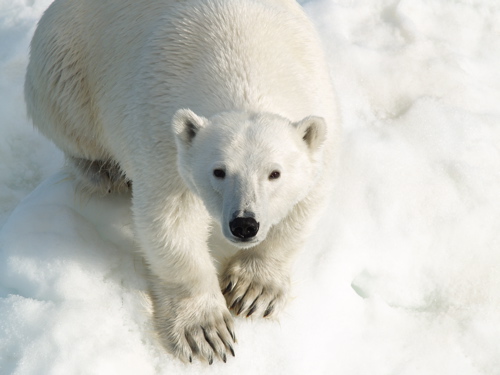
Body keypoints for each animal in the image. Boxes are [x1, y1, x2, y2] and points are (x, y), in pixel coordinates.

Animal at [25, 0, 342, 366]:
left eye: (275, 173)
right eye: (219, 171)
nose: (244, 225)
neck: (245, 74)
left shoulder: (320, 131)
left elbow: (303, 209)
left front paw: (254, 291)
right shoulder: (165, 148)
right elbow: (172, 224)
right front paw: (206, 331)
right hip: (67, 67)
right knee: (72, 127)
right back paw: (103, 172)